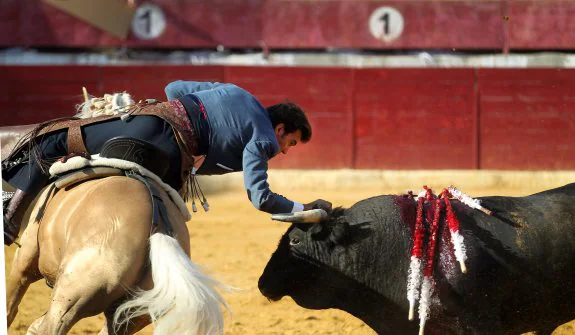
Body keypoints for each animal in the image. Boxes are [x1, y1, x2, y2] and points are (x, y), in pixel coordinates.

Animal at [6, 171, 230, 335]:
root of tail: (157, 225)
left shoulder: (26, 255)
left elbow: (10, 301)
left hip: (73, 295)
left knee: (48, 326)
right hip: (132, 313)